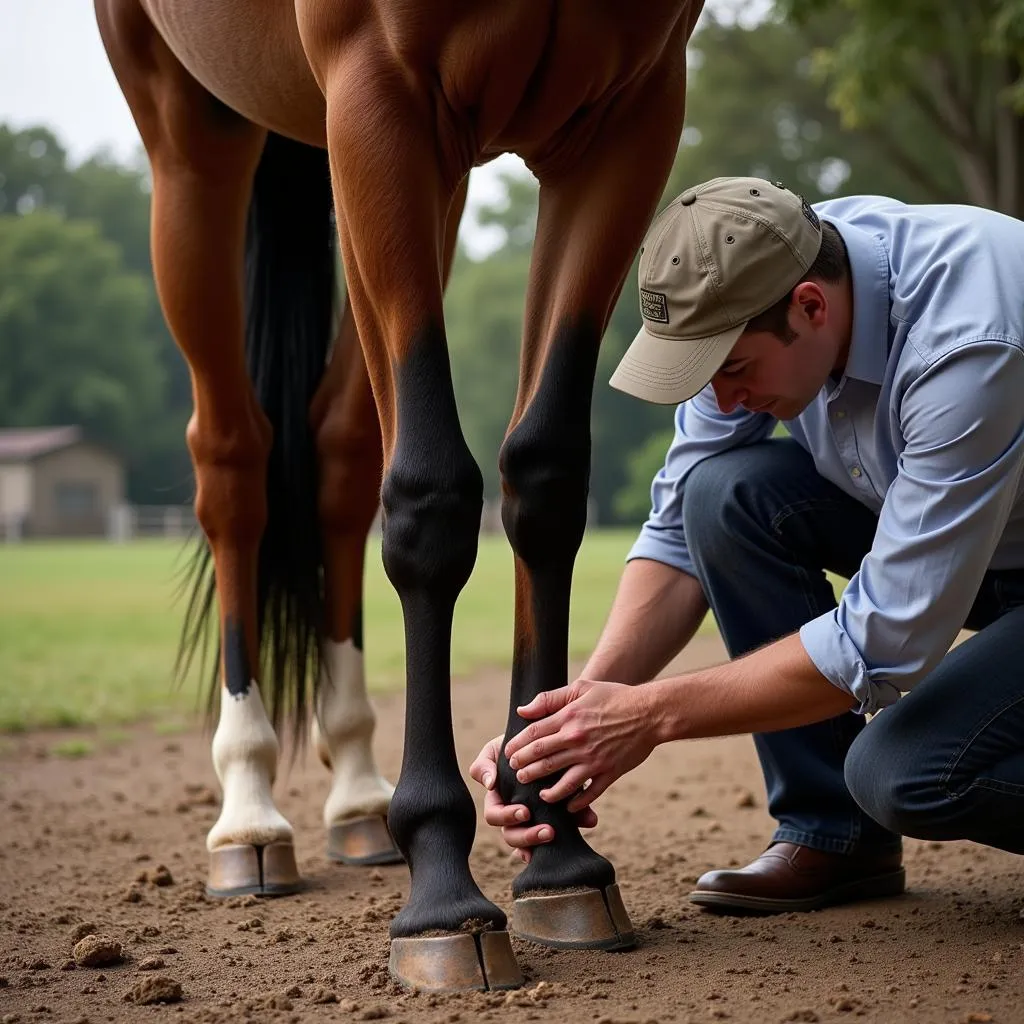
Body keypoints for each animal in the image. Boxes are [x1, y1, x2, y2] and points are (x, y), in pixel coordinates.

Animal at [96, 0, 700, 991]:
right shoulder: (377, 95)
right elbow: (429, 498)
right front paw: (444, 892)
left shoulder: (626, 118)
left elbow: (544, 477)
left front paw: (557, 847)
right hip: (195, 136)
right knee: (233, 463)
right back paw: (249, 808)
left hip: (422, 179)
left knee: (341, 456)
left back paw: (355, 795)